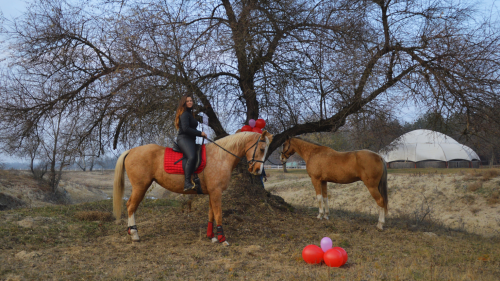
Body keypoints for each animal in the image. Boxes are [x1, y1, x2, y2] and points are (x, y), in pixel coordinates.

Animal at [113, 131, 274, 243]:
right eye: (261, 148)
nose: (257, 170)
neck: (220, 156)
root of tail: (131, 151)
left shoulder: (212, 192)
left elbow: (211, 214)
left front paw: (211, 236)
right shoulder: (216, 192)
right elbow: (218, 214)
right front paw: (222, 238)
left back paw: (131, 232)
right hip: (140, 186)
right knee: (131, 206)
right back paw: (135, 234)